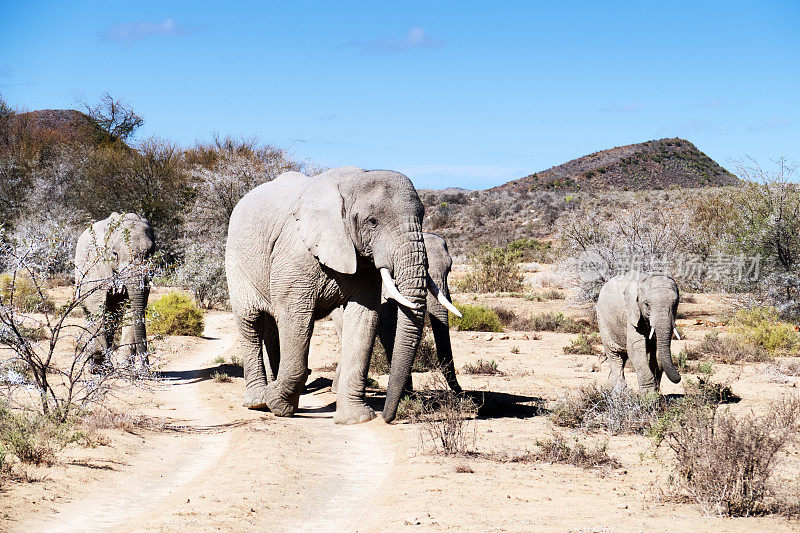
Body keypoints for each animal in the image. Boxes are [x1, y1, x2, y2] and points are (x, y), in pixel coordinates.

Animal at [76, 212, 155, 370]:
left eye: (151, 252)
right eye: (115, 254)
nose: (147, 369)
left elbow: (133, 309)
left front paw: (125, 369)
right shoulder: (97, 265)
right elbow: (97, 307)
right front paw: (103, 369)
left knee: (112, 314)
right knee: (91, 313)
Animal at [228, 166, 456, 424]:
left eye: (422, 217)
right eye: (372, 222)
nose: (389, 418)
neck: (354, 183)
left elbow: (363, 318)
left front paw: (357, 419)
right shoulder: (295, 254)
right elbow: (295, 315)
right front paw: (277, 405)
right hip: (236, 262)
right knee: (251, 321)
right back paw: (258, 401)